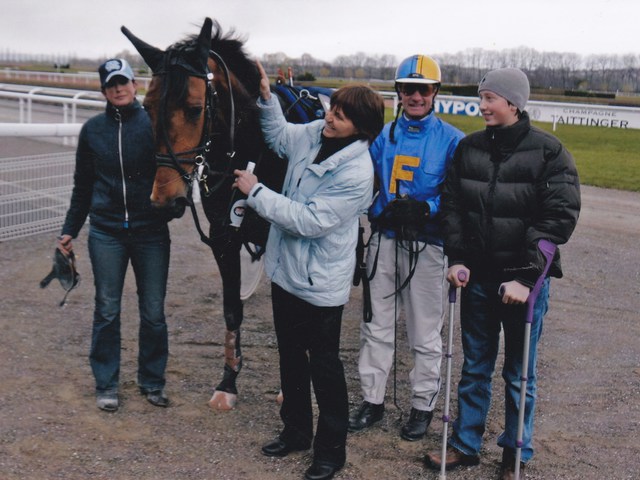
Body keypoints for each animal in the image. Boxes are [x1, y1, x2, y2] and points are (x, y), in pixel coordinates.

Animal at [121, 17, 330, 408]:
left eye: (193, 108)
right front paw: (228, 382)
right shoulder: (224, 239)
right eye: (148, 107)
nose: (164, 199)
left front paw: (291, 388)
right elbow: (232, 309)